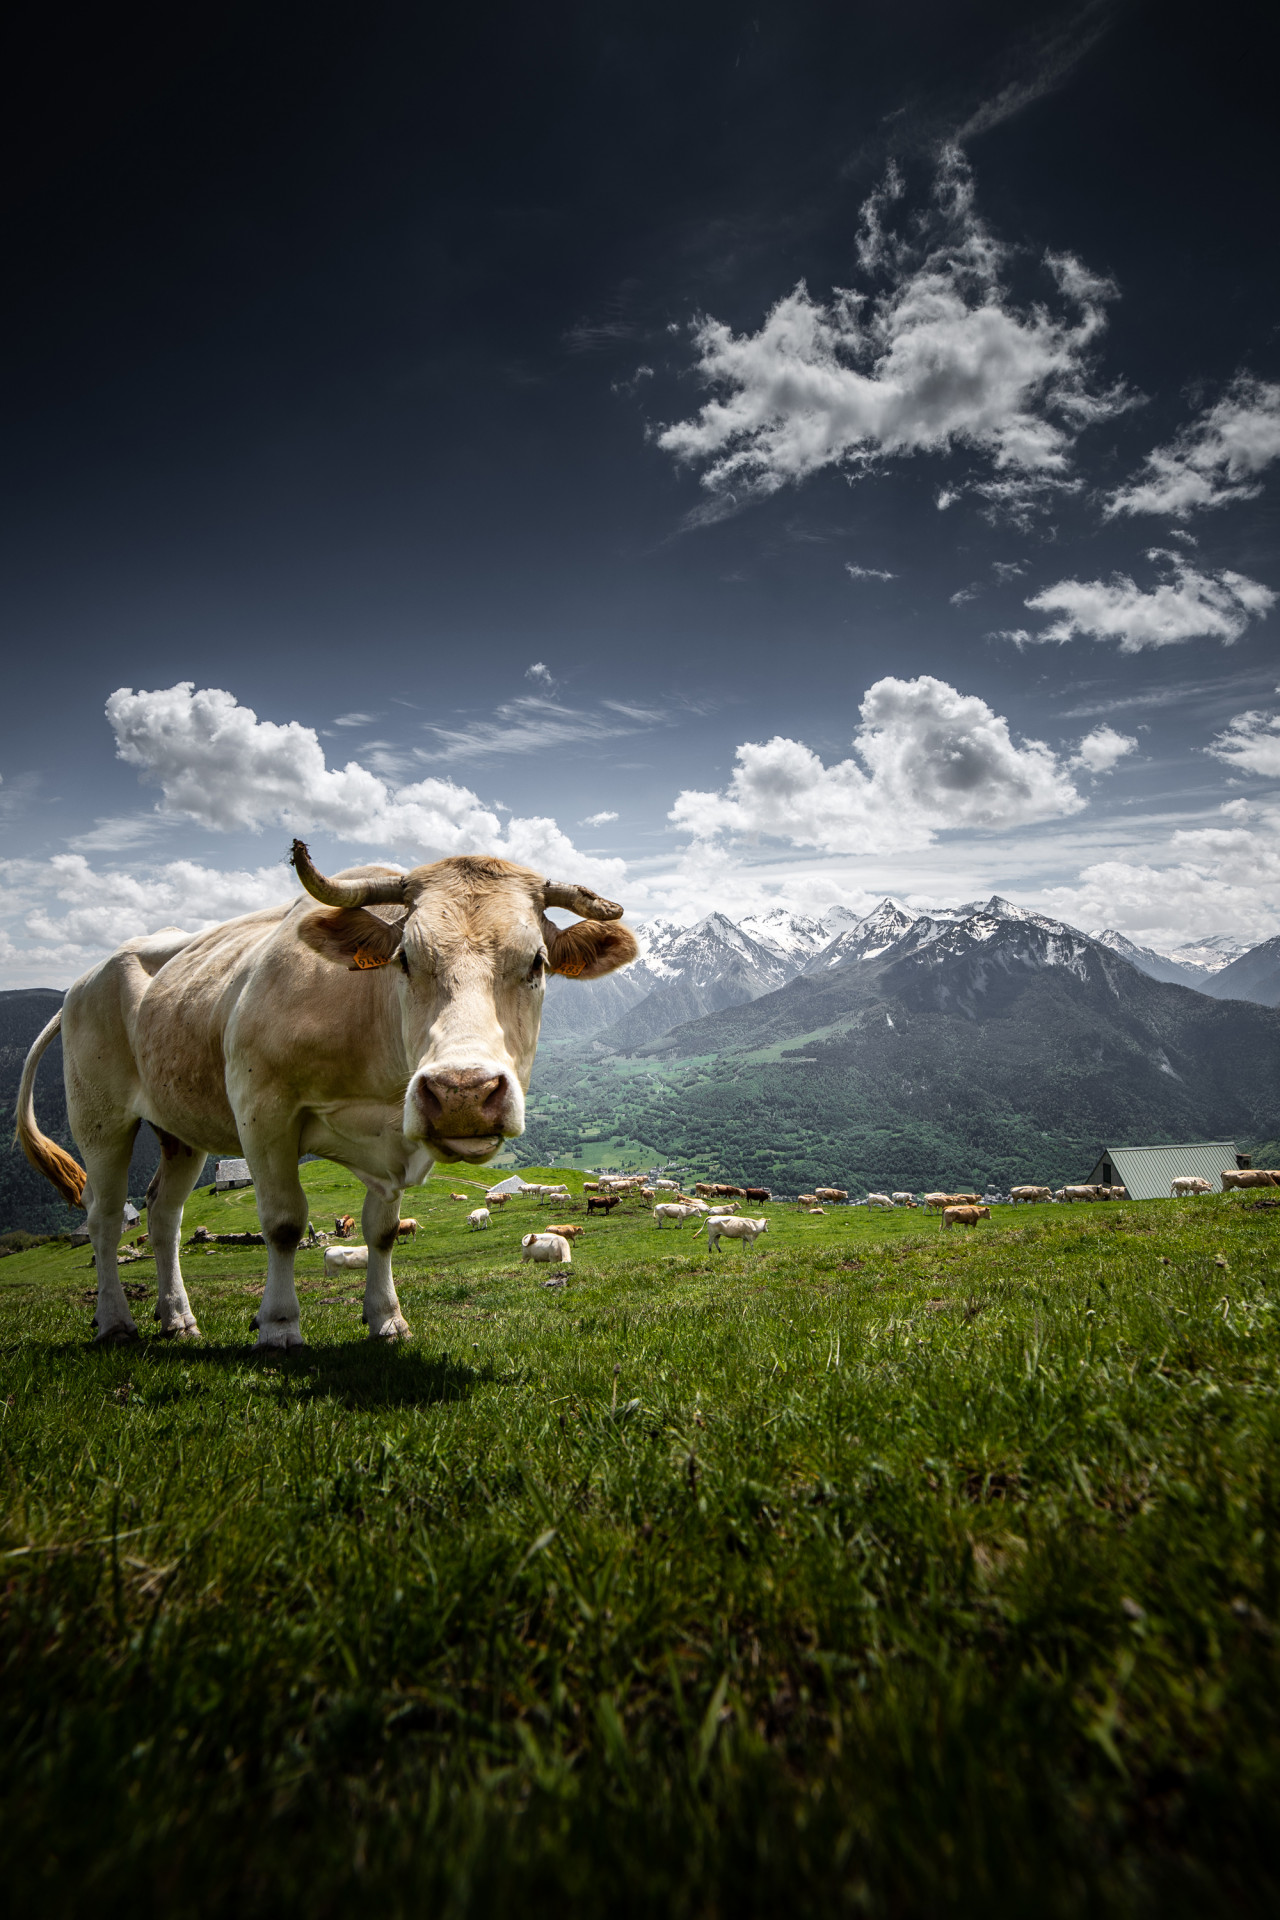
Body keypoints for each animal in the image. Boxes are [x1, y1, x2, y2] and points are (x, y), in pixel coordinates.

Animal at [15, 839, 637, 1348]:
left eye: (537, 962)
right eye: (404, 958)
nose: (461, 1092)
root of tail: (83, 981)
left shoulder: (391, 1145)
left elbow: (381, 1232)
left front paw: (387, 1318)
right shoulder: (262, 1111)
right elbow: (285, 1222)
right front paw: (278, 1325)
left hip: (179, 1129)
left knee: (164, 1215)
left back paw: (177, 1318)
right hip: (100, 1117)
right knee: (104, 1216)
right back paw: (116, 1320)